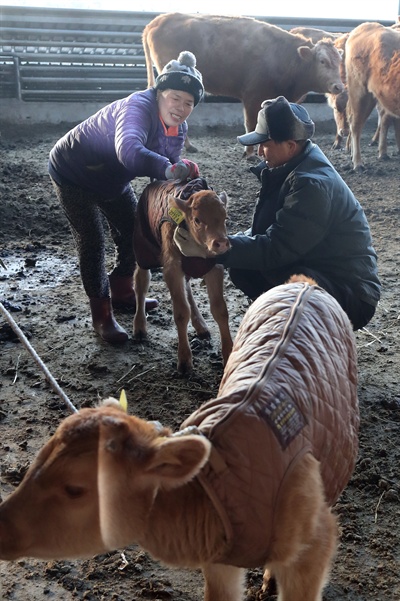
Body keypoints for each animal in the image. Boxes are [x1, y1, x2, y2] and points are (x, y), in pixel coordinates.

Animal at [0, 276, 360, 600]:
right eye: (38, 458)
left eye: (75, 489)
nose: (1, 529)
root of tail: (303, 283)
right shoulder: (219, 556)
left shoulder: (315, 544)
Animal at [132, 178, 231, 372]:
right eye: (197, 219)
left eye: (225, 218)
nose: (221, 243)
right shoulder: (172, 268)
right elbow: (180, 312)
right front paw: (184, 360)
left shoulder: (214, 266)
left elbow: (220, 310)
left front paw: (229, 355)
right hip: (143, 249)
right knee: (141, 283)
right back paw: (139, 327)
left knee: (187, 289)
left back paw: (200, 325)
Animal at [144, 13, 344, 158]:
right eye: (322, 61)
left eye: (339, 61)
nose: (339, 87)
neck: (283, 56)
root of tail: (158, 20)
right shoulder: (251, 96)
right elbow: (251, 124)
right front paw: (249, 153)